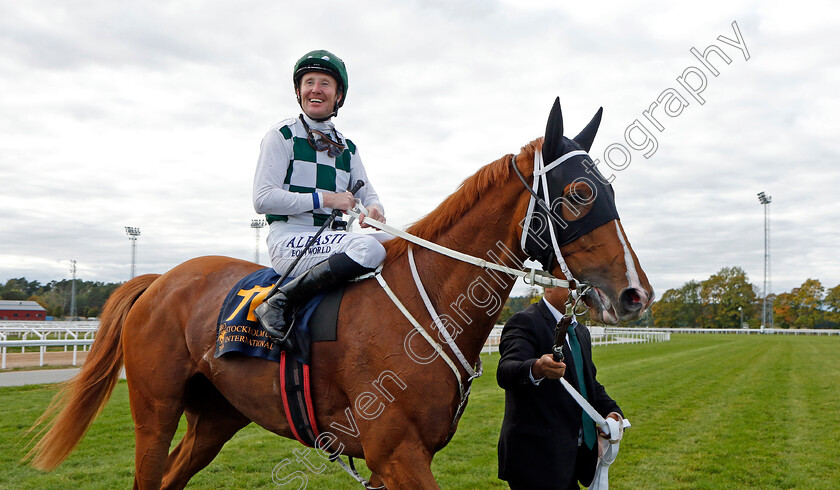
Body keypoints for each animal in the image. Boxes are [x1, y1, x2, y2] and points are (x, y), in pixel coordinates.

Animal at [26, 98, 652, 486]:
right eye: (579, 192)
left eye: (609, 188)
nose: (635, 294)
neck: (426, 309)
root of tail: (161, 280)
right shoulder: (398, 453)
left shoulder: (390, 460)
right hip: (154, 413)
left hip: (218, 416)